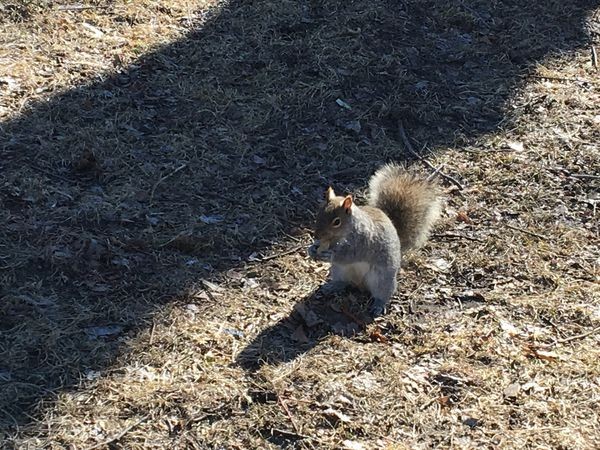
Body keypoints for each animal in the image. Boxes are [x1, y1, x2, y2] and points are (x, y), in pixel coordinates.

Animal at [310, 164, 440, 316]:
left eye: (337, 222)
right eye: (319, 212)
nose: (317, 236)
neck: (340, 237)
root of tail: (359, 283)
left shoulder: (364, 241)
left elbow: (349, 255)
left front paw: (329, 254)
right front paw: (311, 249)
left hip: (383, 280)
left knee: (382, 293)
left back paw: (378, 305)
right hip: (339, 271)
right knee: (343, 282)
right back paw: (332, 287)